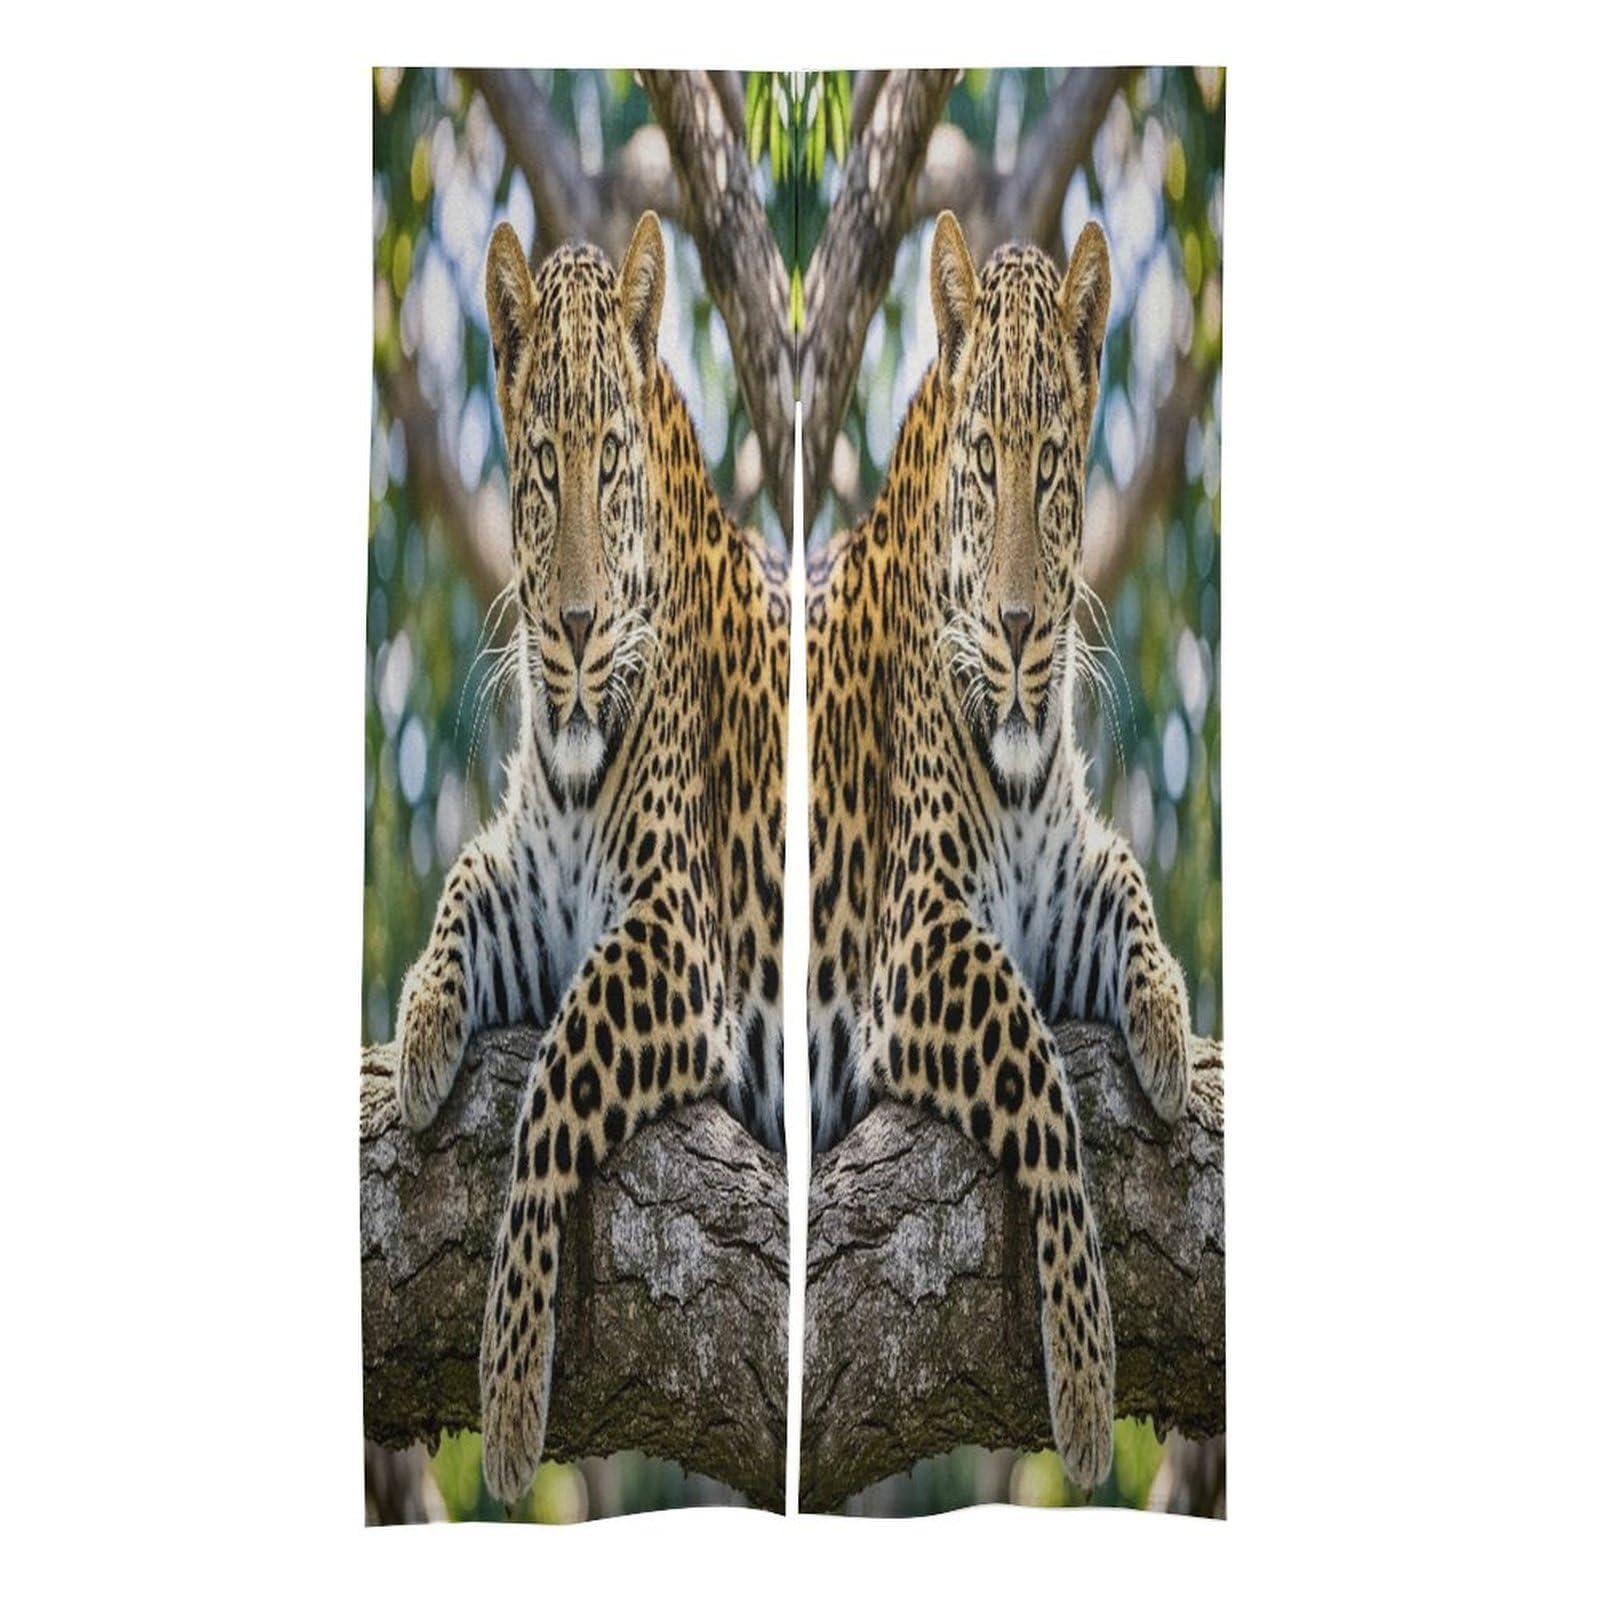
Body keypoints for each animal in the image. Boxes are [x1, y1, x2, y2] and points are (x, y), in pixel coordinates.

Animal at [390, 212, 789, 1505]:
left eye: (609, 455)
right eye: (540, 461)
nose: (571, 624)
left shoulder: (673, 938)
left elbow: (559, 1074)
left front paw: (512, 1387)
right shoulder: (528, 890)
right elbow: (464, 886)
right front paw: (419, 1039)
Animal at [805, 211, 1197, 1489]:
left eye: (1055, 461)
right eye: (984, 456)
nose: (1021, 625)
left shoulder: (1064, 884)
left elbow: (1125, 880)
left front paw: (1168, 1037)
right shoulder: (918, 940)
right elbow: (1036, 1072)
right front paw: (1081, 1372)